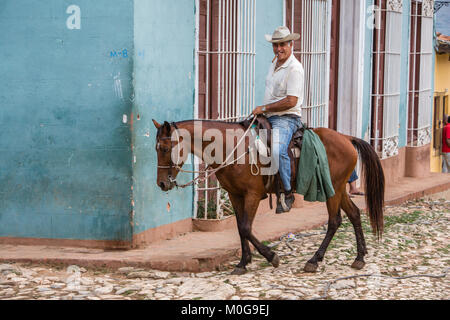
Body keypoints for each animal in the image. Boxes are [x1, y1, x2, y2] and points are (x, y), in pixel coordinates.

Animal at [153, 119, 384, 274]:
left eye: (164, 148)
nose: (162, 183)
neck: (232, 149)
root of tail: (347, 138)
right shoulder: (235, 195)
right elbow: (240, 228)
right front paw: (243, 262)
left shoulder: (253, 195)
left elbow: (246, 227)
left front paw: (271, 256)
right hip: (338, 188)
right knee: (354, 214)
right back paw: (360, 257)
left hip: (333, 188)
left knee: (335, 221)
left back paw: (314, 260)